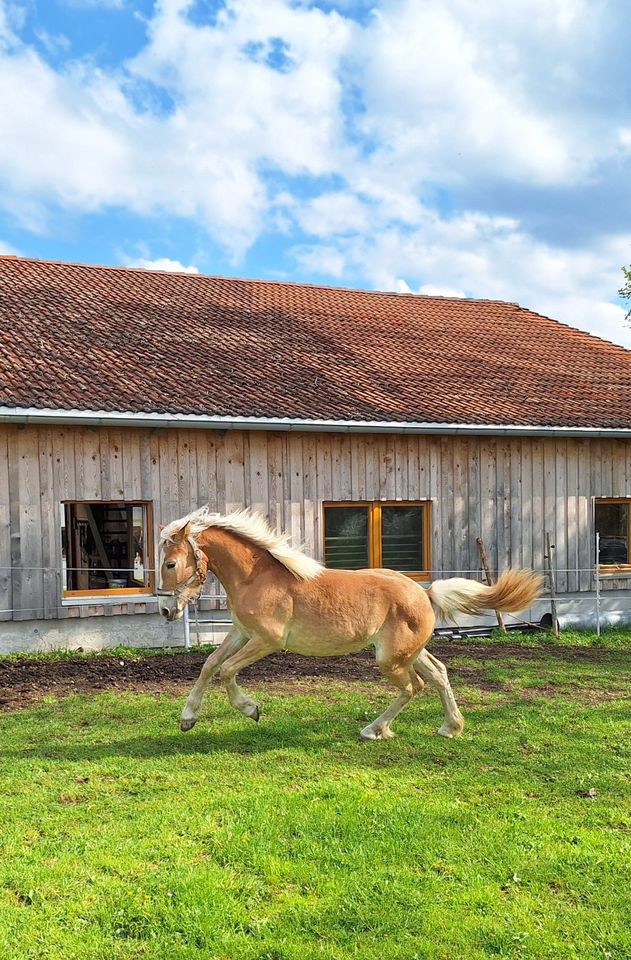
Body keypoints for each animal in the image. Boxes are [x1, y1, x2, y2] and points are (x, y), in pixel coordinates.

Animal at [157, 510, 540, 744]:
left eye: (171, 563)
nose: (165, 609)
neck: (257, 577)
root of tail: (424, 592)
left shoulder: (267, 640)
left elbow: (226, 671)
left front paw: (251, 709)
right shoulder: (241, 633)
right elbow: (209, 666)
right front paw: (187, 718)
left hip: (391, 658)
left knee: (413, 686)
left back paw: (374, 730)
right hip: (408, 652)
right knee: (438, 674)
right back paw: (449, 727)